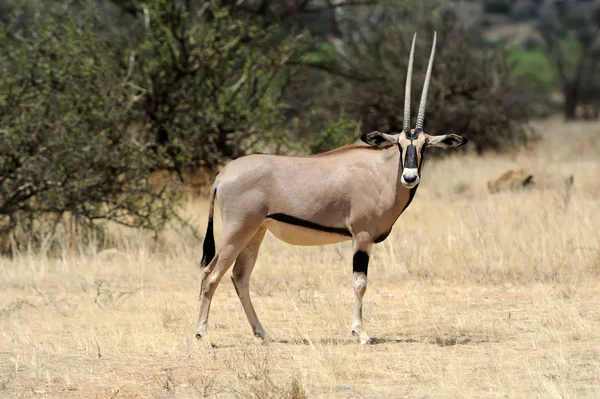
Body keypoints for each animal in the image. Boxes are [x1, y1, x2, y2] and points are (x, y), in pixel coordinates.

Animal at [195, 32, 466, 344]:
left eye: (424, 146)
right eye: (399, 143)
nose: (409, 177)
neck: (382, 172)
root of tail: (223, 174)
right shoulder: (361, 236)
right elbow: (360, 282)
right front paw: (361, 333)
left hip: (255, 232)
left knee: (239, 275)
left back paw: (262, 333)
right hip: (237, 231)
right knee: (211, 274)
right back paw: (201, 334)